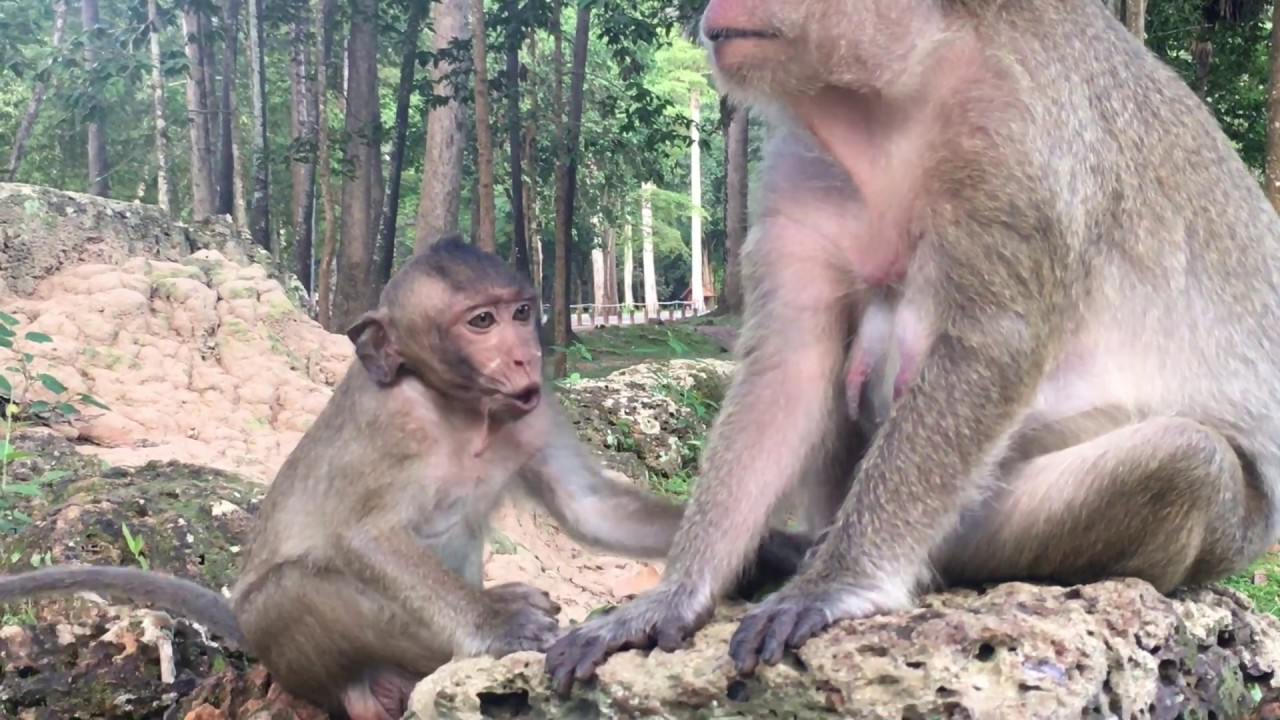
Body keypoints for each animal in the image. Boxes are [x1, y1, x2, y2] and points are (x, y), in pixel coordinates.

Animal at [0, 236, 813, 720]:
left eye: (521, 311)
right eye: (480, 322)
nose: (524, 355)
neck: (460, 410)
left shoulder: (532, 411)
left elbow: (590, 508)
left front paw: (777, 551)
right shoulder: (397, 425)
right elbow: (364, 534)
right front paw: (499, 622)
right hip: (324, 643)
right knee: (305, 589)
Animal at [544, 0, 1280, 694]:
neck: (898, 92)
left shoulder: (1017, 143)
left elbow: (992, 345)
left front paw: (836, 586)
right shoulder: (808, 161)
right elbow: (791, 369)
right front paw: (672, 597)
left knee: (1188, 461)